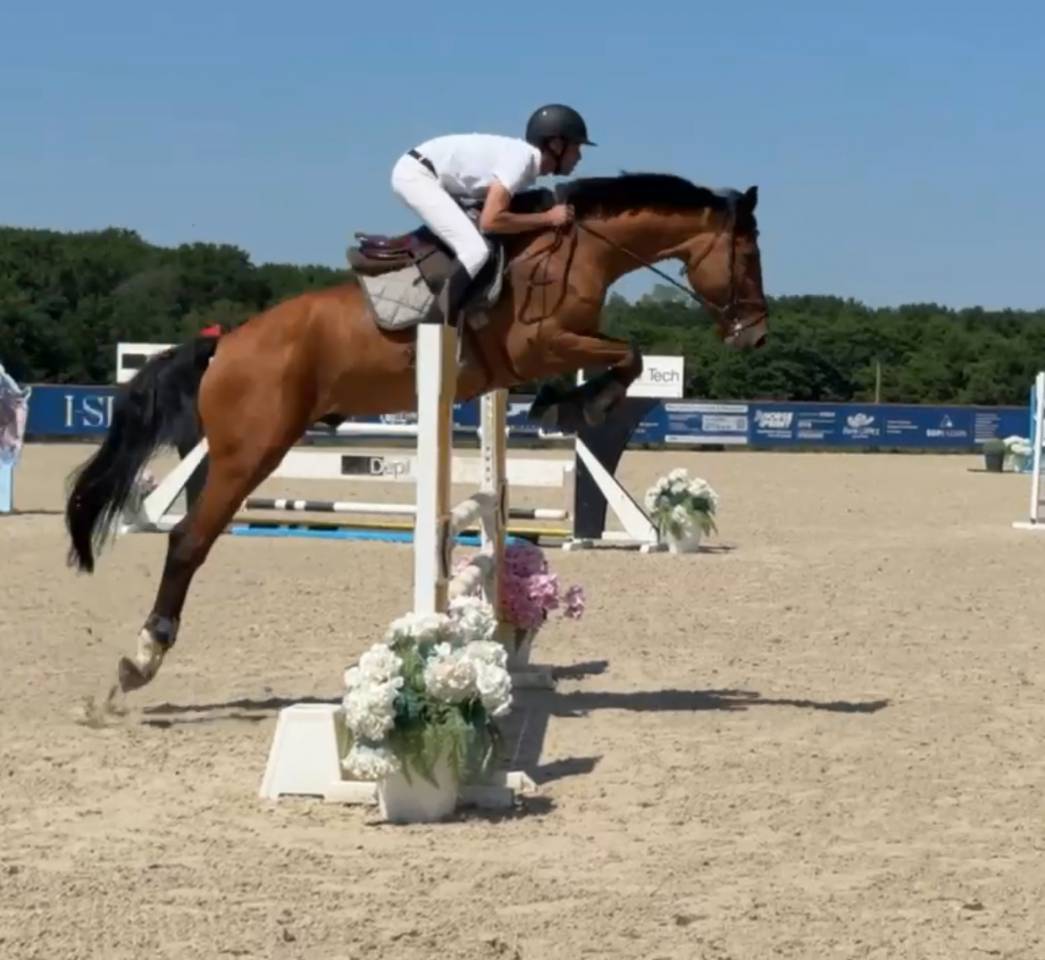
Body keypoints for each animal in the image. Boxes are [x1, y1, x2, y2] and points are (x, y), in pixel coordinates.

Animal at [64, 171, 769, 696]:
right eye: (748, 256)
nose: (757, 335)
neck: (578, 248)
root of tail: (225, 344)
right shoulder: (542, 342)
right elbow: (627, 355)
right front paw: (578, 406)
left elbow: (623, 356)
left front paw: (561, 404)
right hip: (250, 452)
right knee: (188, 539)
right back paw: (143, 657)